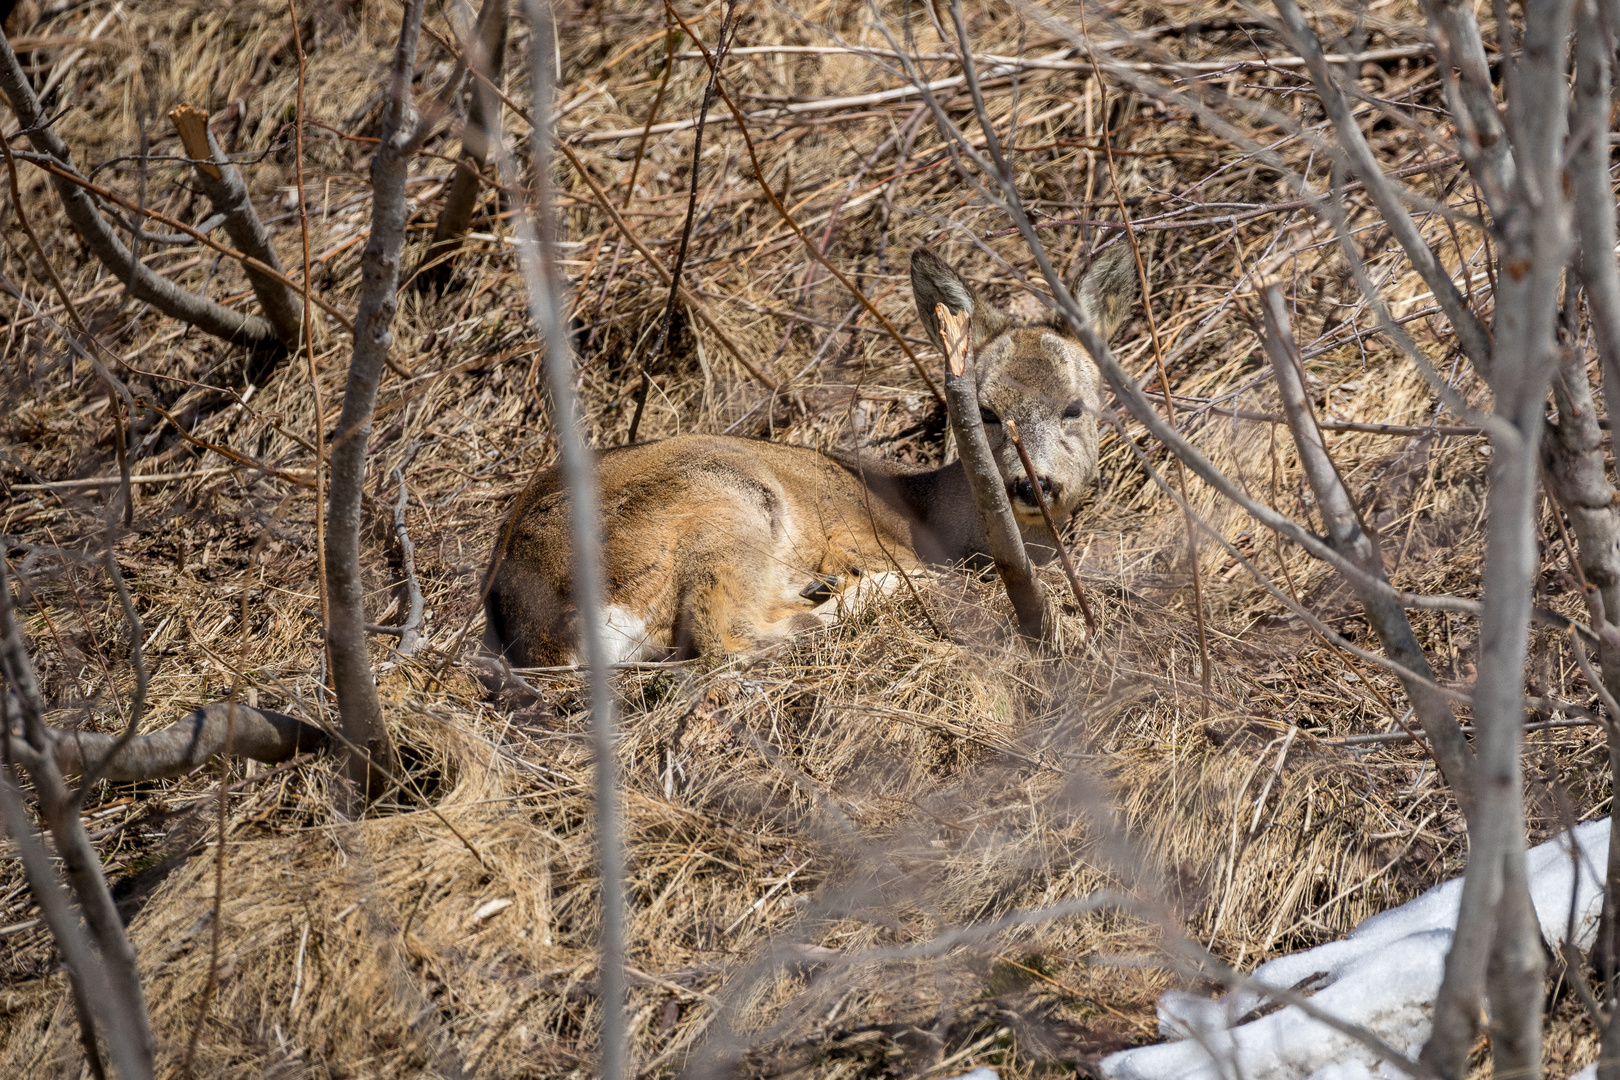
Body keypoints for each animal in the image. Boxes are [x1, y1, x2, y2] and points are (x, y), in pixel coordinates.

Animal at [486, 244, 1134, 667]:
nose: (1031, 485)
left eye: (1075, 407)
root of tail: (542, 630)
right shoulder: (853, 535)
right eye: (987, 412)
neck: (940, 515)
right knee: (723, 636)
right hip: (722, 496)